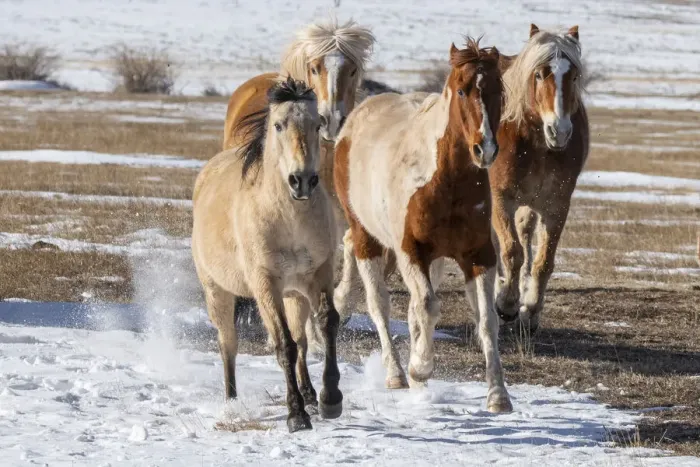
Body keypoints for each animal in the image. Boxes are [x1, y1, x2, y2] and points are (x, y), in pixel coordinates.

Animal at [192, 78, 342, 433]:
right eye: (278, 125)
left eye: (317, 124)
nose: (302, 181)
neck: (290, 219)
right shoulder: (265, 285)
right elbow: (283, 345)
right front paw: (296, 415)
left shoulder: (319, 274)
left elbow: (327, 324)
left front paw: (330, 400)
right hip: (217, 292)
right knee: (228, 344)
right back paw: (232, 402)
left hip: (294, 294)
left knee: (302, 339)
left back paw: (310, 393)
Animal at [333, 38, 512, 413]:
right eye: (462, 90)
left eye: (498, 91)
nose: (485, 149)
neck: (446, 181)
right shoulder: (411, 251)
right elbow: (428, 306)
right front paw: (420, 367)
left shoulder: (478, 255)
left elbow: (486, 320)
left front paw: (498, 395)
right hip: (367, 238)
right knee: (378, 302)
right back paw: (396, 374)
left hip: (435, 259)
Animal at [489, 24, 589, 332]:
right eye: (539, 74)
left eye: (574, 75)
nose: (560, 131)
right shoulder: (500, 198)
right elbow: (511, 252)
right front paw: (506, 304)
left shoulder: (556, 204)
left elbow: (543, 260)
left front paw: (530, 309)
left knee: (525, 235)